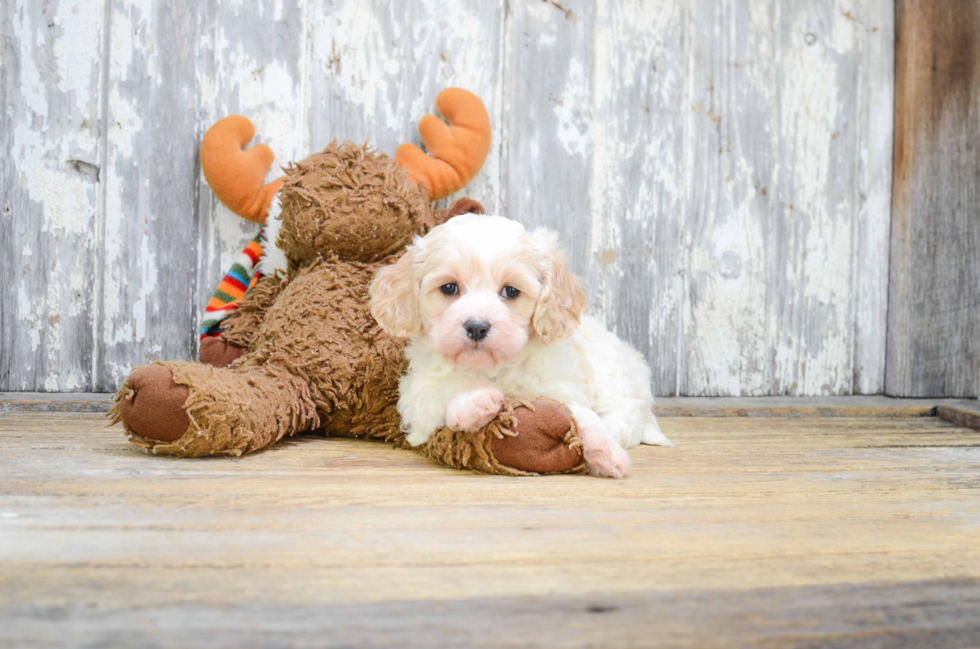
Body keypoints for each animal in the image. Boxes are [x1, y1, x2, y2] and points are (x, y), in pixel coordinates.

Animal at [370, 213, 672, 476]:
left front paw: (605, 451)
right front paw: (475, 402)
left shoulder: (558, 389)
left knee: (625, 417)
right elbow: (447, 391)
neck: (494, 368)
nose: (477, 326)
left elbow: (582, 415)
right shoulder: (416, 398)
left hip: (612, 379)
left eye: (511, 291)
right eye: (449, 288)